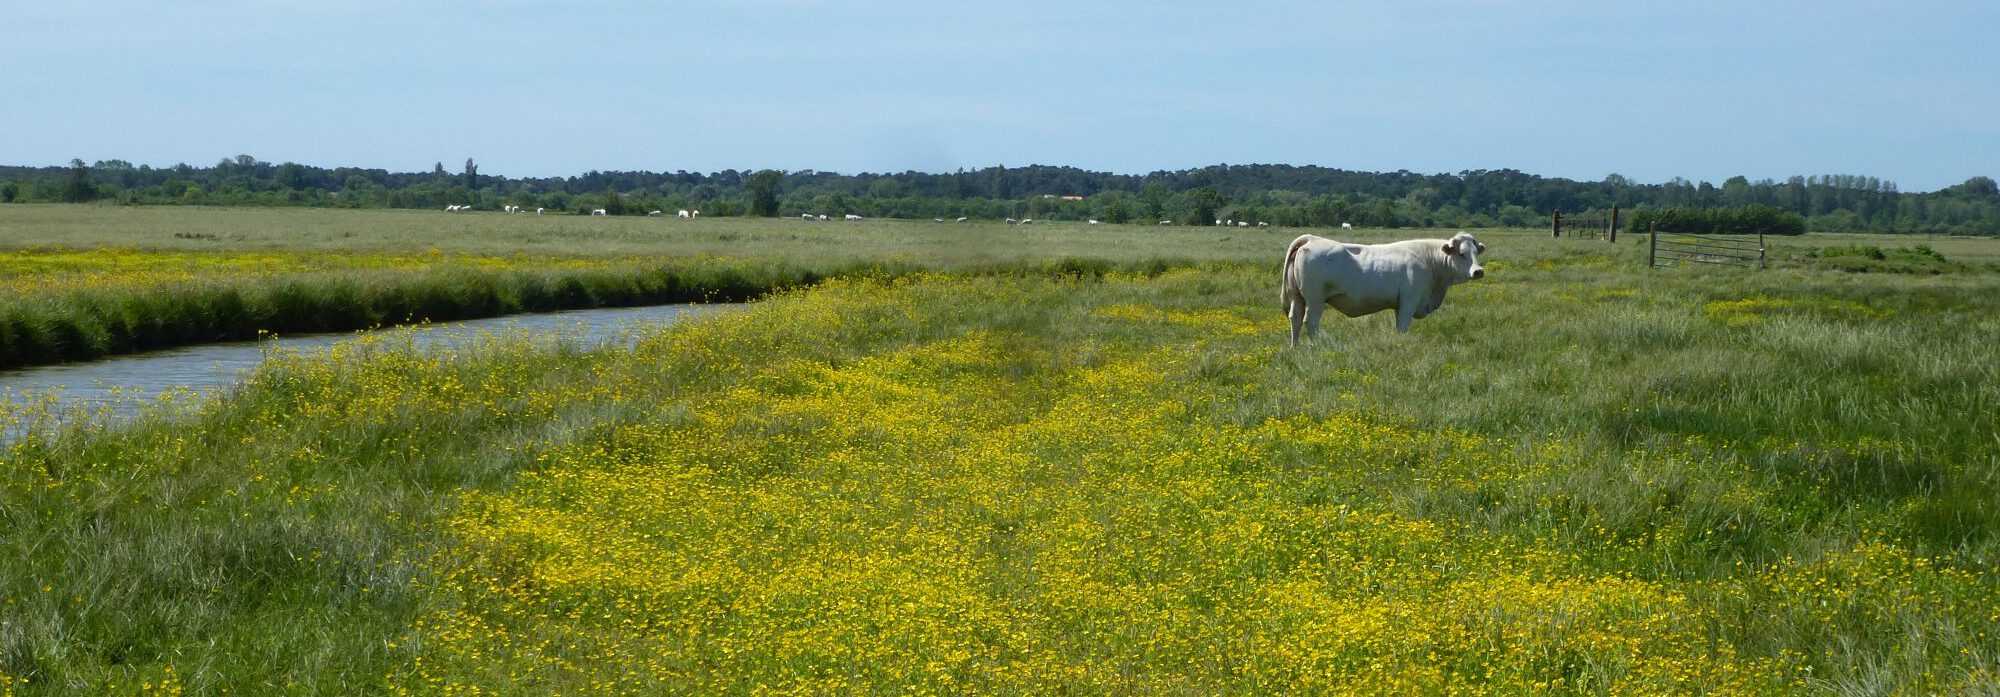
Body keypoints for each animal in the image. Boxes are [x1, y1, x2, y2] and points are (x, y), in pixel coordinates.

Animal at [1280, 231, 1488, 346]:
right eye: (1461, 253)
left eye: (1476, 252)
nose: (1478, 271)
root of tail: (1311, 239)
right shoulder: (1409, 302)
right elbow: (1403, 327)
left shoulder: (1400, 305)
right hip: (1315, 300)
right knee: (1311, 322)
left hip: (1297, 297)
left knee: (1295, 318)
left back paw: (1295, 347)